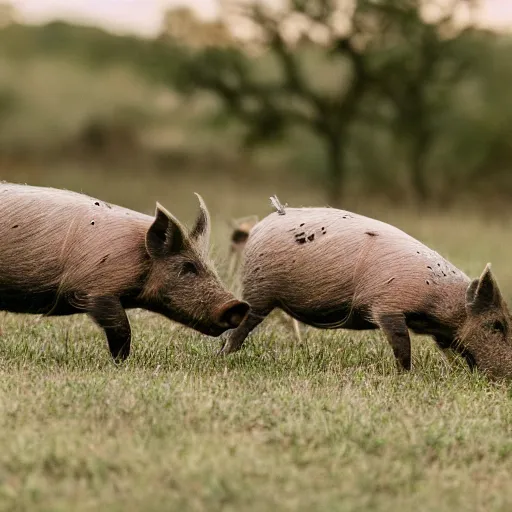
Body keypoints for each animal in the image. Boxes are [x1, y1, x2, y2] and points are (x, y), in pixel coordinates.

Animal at [0, 183, 250, 360]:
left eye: (212, 268)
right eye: (188, 268)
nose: (238, 306)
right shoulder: (96, 288)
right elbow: (121, 326)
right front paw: (121, 362)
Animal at [222, 196, 512, 380]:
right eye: (496, 325)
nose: (506, 378)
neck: (441, 305)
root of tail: (259, 227)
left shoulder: (441, 333)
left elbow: (449, 349)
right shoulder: (388, 306)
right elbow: (401, 344)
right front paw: (407, 377)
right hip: (260, 290)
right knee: (245, 324)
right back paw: (225, 355)